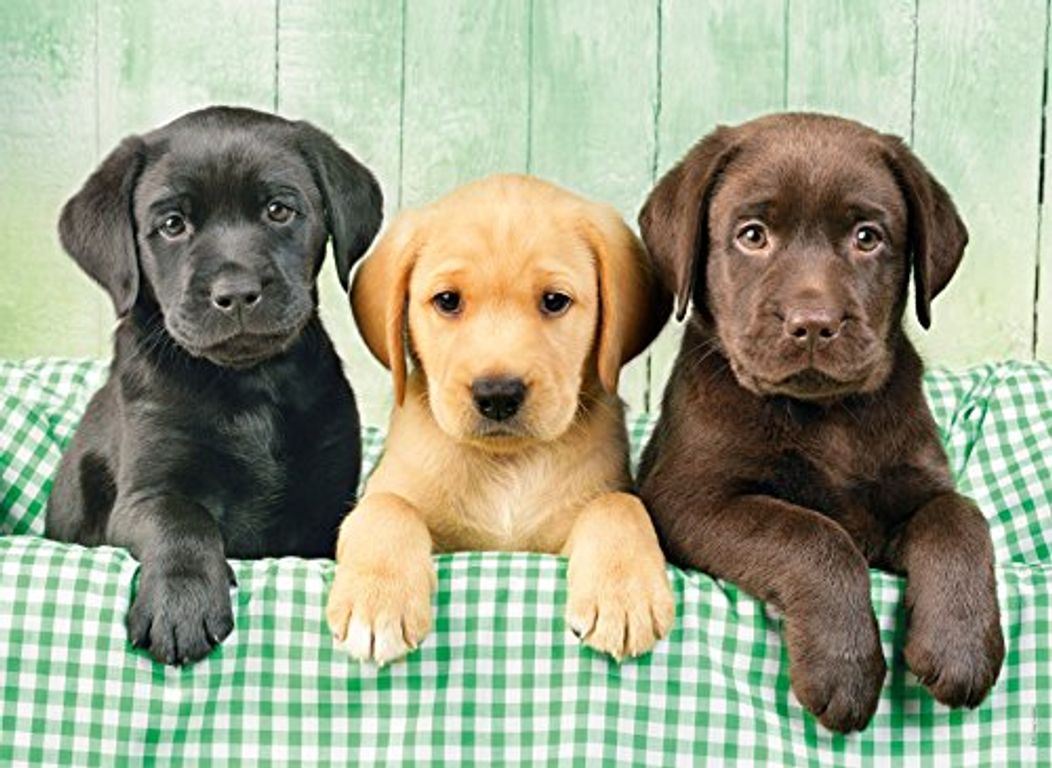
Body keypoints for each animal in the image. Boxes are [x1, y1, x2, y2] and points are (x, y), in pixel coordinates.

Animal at [46, 104, 382, 660]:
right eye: (172, 225)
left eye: (279, 211)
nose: (238, 292)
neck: (248, 385)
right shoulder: (145, 493)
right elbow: (182, 519)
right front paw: (181, 606)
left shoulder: (330, 498)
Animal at [328, 176, 673, 660]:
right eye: (447, 301)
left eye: (555, 301)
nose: (497, 396)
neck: (507, 467)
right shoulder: (391, 495)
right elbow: (385, 506)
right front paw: (376, 603)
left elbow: (616, 505)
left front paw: (625, 596)